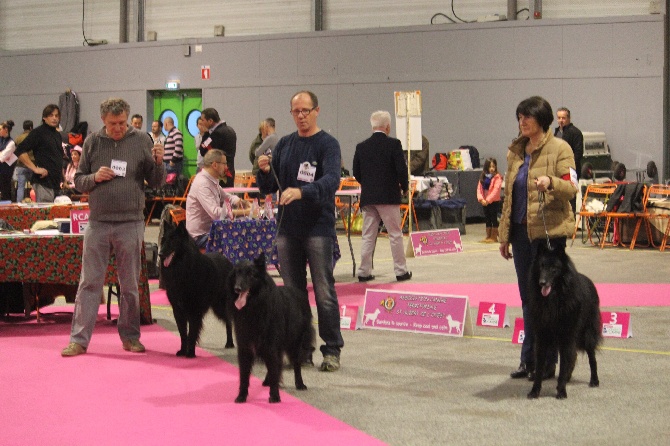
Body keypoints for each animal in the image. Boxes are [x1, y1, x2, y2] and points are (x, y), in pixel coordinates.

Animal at [159, 221, 235, 358]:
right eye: (164, 240)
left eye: (173, 241)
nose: (160, 254)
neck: (183, 268)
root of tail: (228, 261)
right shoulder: (178, 310)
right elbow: (183, 333)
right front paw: (182, 351)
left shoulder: (194, 311)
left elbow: (192, 332)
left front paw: (190, 353)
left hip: (220, 306)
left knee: (228, 320)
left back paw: (230, 343)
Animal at [230, 254, 316, 404]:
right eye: (237, 274)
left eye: (251, 274)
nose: (237, 288)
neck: (254, 308)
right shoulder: (245, 347)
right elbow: (244, 375)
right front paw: (241, 396)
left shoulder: (271, 346)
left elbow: (275, 369)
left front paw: (275, 396)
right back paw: (267, 381)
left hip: (295, 343)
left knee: (296, 364)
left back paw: (299, 384)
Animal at [532, 240, 604, 400]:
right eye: (541, 266)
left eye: (553, 268)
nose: (542, 283)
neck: (555, 298)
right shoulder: (542, 336)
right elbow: (539, 367)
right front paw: (534, 391)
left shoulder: (567, 336)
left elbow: (565, 363)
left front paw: (561, 391)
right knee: (574, 356)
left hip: (587, 335)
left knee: (592, 357)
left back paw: (594, 380)